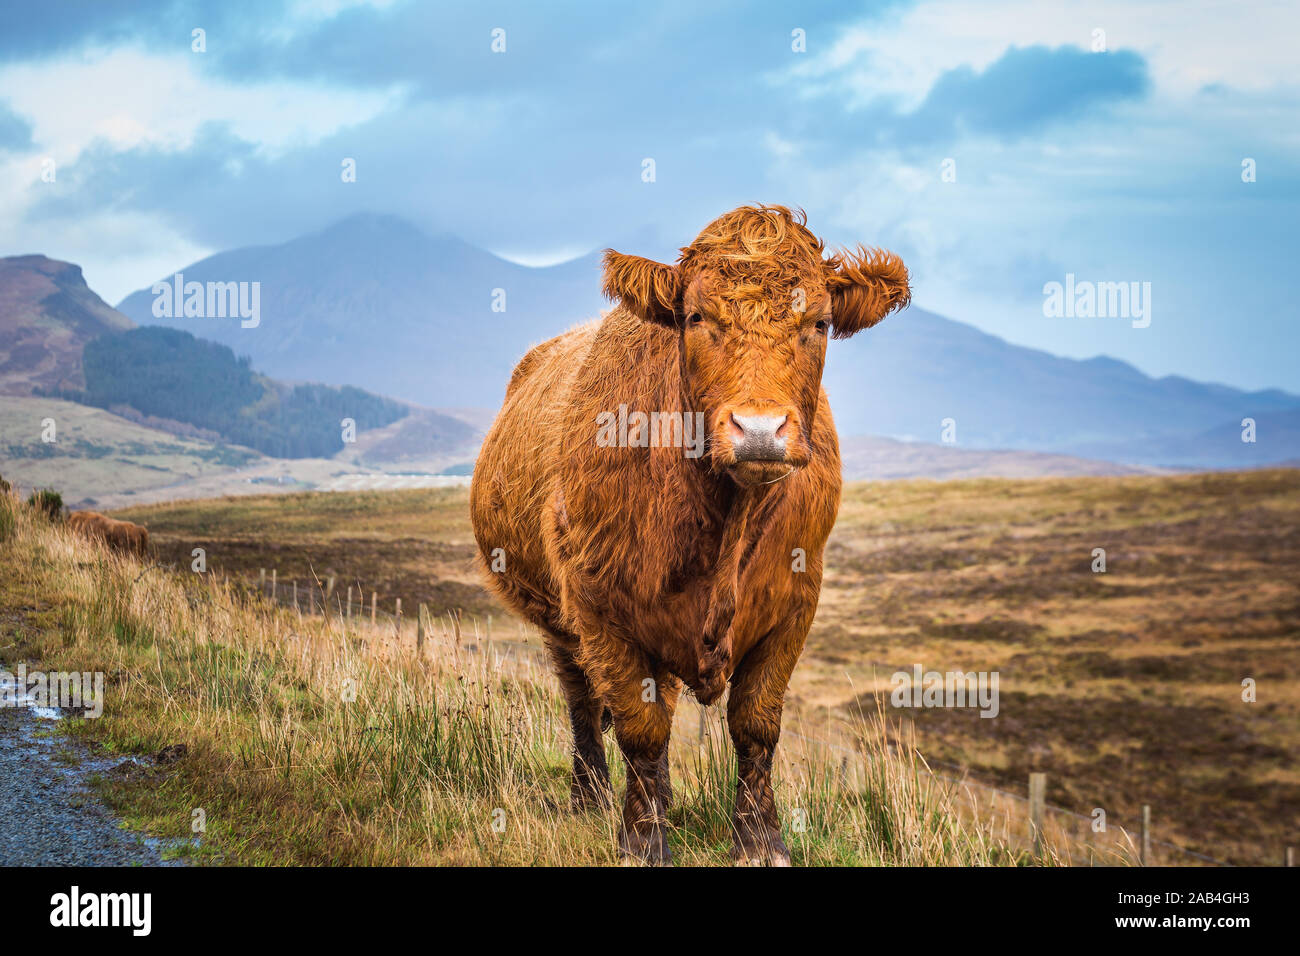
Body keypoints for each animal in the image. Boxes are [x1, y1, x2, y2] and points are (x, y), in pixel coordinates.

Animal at [470, 205, 909, 865]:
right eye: (697, 316)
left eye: (820, 323)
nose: (760, 430)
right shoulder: (600, 607)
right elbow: (639, 726)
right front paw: (643, 839)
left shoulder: (794, 605)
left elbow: (756, 724)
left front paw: (760, 839)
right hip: (555, 619)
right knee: (582, 701)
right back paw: (590, 796)